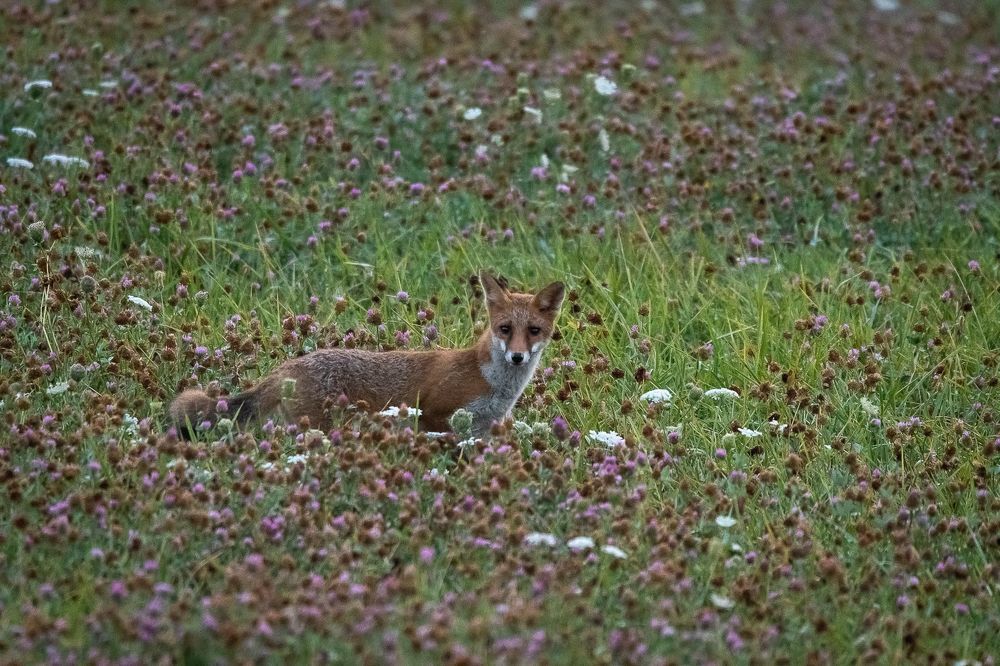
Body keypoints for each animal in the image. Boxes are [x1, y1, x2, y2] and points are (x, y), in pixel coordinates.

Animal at [169, 273, 565, 439]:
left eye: (533, 331)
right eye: (504, 329)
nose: (517, 358)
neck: (494, 385)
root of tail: (285, 368)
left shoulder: (483, 430)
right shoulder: (434, 415)